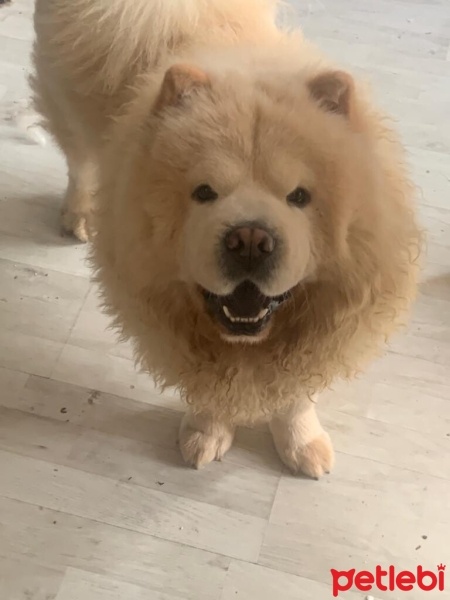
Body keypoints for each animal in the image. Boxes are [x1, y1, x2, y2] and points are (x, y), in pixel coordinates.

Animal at [32, 0, 422, 478]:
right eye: (205, 192)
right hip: (66, 101)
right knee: (79, 162)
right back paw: (79, 215)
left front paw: (302, 445)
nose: (250, 239)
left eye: (299, 196)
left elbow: (294, 394)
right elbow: (209, 388)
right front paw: (206, 433)